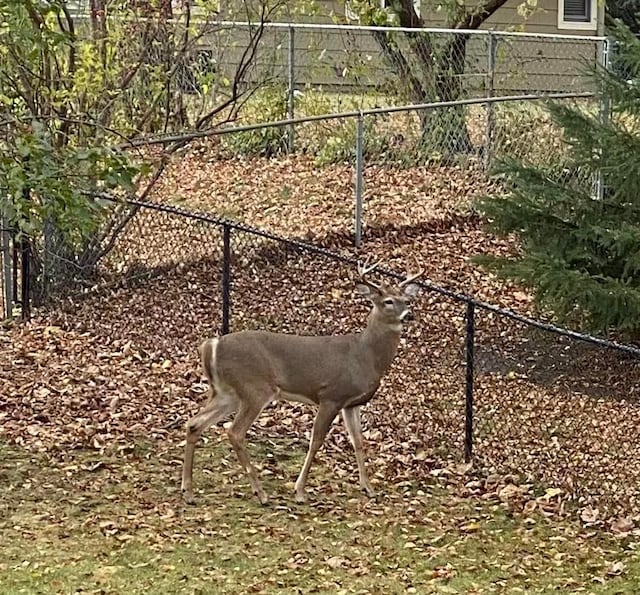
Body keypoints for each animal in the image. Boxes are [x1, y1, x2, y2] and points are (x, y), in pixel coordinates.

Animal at [181, 258, 420, 506]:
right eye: (388, 301)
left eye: (407, 300)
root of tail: (211, 345)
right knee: (234, 432)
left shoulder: (351, 403)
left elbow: (358, 442)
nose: (409, 315)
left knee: (194, 423)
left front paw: (368, 488)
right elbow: (316, 441)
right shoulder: (331, 395)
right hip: (255, 388)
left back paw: (188, 491)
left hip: (227, 393)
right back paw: (261, 493)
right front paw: (300, 491)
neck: (365, 354)